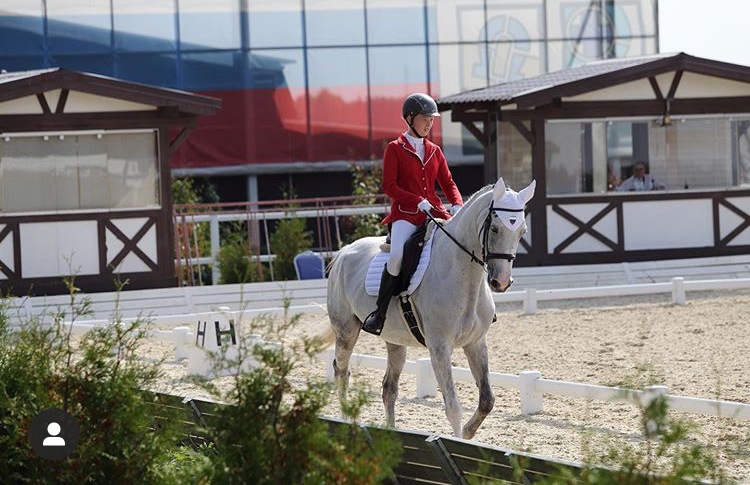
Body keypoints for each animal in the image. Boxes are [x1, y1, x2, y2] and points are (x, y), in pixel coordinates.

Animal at [322, 177, 536, 438]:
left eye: (522, 231)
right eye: (495, 229)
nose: (501, 282)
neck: (465, 280)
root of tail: (344, 251)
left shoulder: (476, 342)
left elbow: (487, 399)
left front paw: (468, 433)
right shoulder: (440, 347)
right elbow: (453, 407)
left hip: (394, 340)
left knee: (388, 388)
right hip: (346, 331)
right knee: (341, 371)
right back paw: (344, 423)